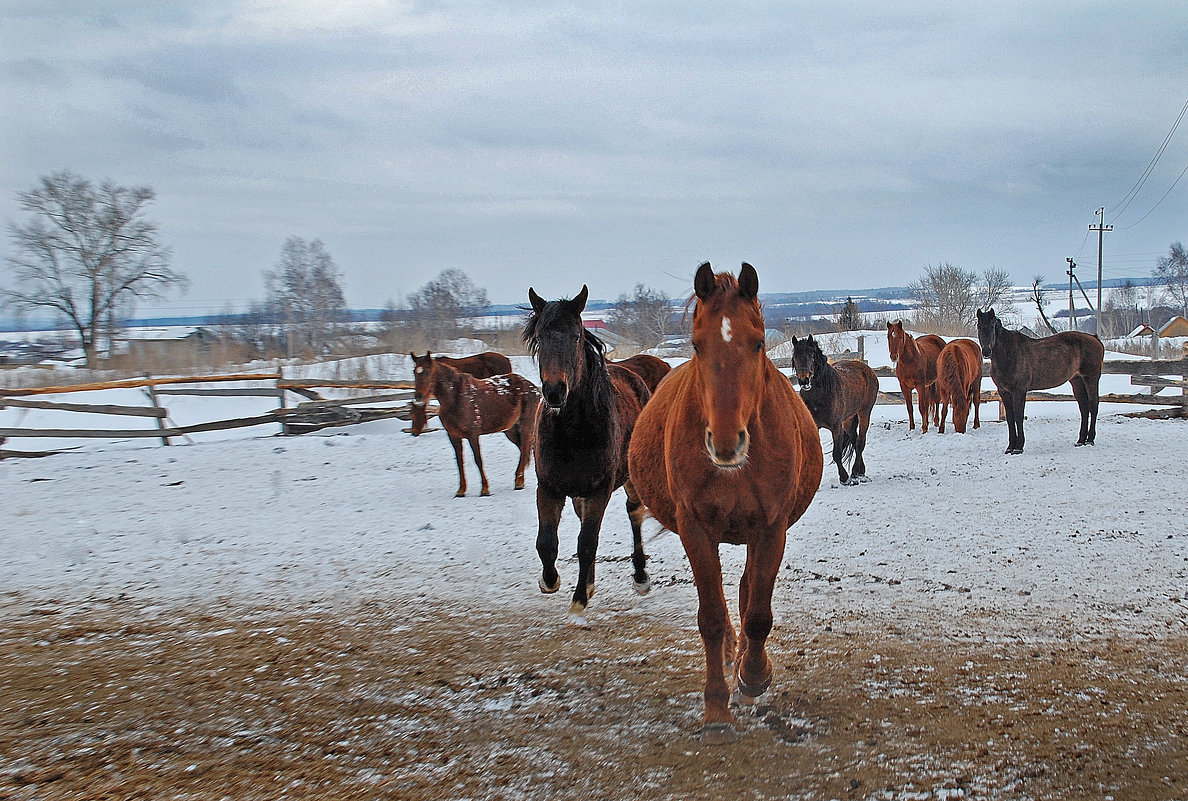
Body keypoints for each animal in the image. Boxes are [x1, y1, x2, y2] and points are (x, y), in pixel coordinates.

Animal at [408, 354, 539, 492]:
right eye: (414, 371)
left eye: (428, 371)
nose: (419, 397)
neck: (455, 398)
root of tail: (533, 387)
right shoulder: (453, 436)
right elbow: (459, 462)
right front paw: (461, 490)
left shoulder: (473, 434)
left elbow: (478, 459)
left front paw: (485, 488)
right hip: (510, 429)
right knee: (523, 450)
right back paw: (520, 480)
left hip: (526, 426)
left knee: (525, 449)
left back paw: (519, 481)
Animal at [522, 284, 651, 627]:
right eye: (540, 336)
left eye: (576, 336)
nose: (555, 391)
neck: (572, 431)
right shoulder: (549, 487)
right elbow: (547, 542)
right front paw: (549, 581)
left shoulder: (599, 490)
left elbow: (587, 543)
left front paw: (579, 601)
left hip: (629, 478)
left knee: (634, 513)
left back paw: (640, 577)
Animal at [627, 261, 822, 741]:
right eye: (697, 345)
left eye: (758, 343)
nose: (726, 442)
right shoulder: (696, 530)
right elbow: (712, 618)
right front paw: (716, 710)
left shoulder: (771, 529)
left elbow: (758, 613)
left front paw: (753, 679)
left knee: (749, 592)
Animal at [793, 330, 879, 480]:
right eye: (795, 357)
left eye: (811, 356)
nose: (804, 381)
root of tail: (867, 370)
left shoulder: (836, 427)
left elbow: (837, 454)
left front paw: (844, 478)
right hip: (848, 420)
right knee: (855, 441)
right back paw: (860, 470)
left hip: (864, 412)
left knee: (860, 442)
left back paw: (855, 472)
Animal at [974, 306, 1102, 451]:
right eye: (979, 326)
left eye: (991, 326)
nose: (986, 352)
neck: (1008, 354)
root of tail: (1095, 338)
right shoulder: (1004, 391)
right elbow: (1010, 418)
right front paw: (1010, 447)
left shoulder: (1019, 391)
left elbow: (1018, 416)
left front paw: (1018, 447)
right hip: (1077, 380)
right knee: (1084, 408)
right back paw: (1081, 441)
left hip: (1091, 378)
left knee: (1093, 405)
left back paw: (1090, 439)